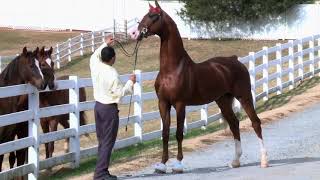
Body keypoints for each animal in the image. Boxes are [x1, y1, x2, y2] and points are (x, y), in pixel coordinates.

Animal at [129, 0, 268, 173]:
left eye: (153, 16)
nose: (134, 33)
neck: (173, 69)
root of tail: (234, 60)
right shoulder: (163, 103)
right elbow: (165, 133)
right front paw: (161, 165)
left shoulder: (180, 104)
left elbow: (179, 133)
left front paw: (178, 164)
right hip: (223, 100)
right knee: (234, 124)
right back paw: (235, 161)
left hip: (244, 96)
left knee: (255, 122)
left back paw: (264, 160)